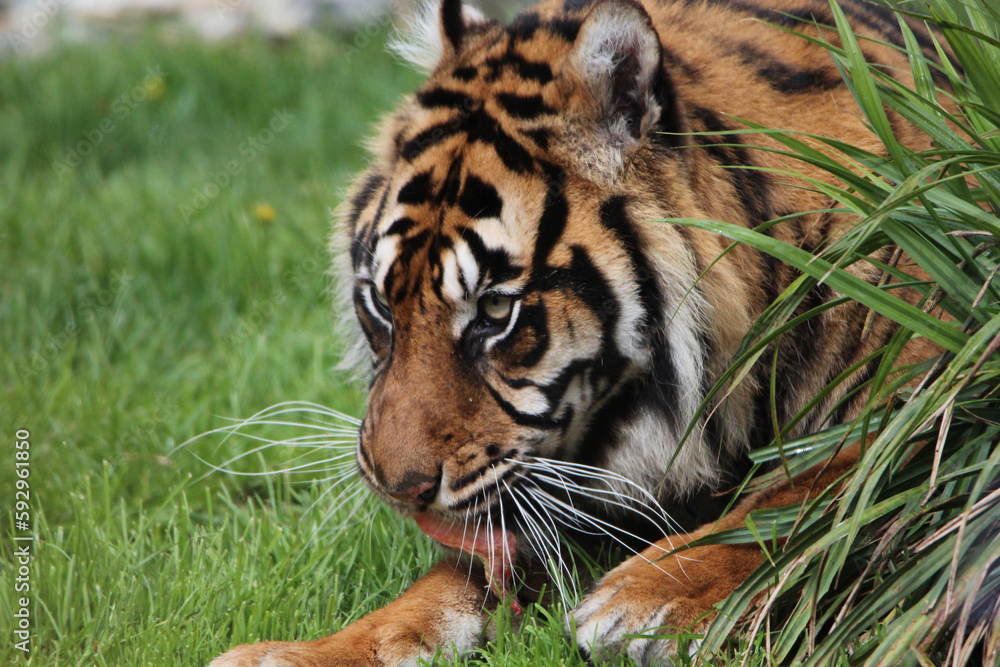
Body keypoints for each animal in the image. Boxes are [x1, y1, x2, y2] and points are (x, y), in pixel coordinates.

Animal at [210, 0, 950, 664]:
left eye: (494, 313)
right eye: (381, 305)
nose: (400, 489)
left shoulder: (930, 396)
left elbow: (826, 484)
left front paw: (648, 597)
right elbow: (449, 581)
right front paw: (304, 651)